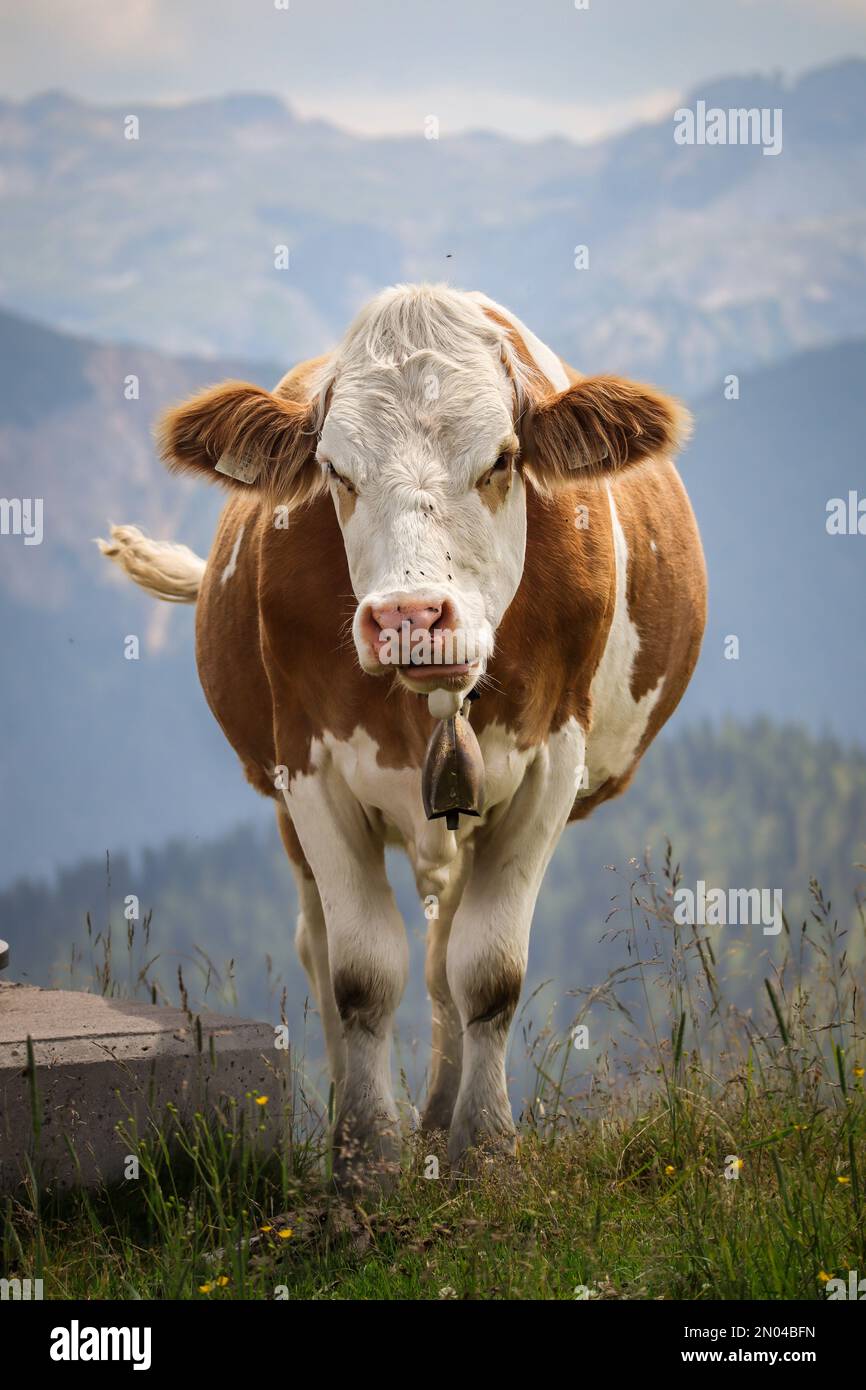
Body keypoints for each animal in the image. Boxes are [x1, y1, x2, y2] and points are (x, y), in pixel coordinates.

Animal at [101, 282, 708, 1184]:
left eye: (500, 460)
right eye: (336, 470)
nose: (411, 618)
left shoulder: (549, 767)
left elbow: (488, 972)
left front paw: (482, 1148)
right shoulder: (309, 770)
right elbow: (361, 975)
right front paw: (365, 1156)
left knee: (444, 962)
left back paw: (439, 1118)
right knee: (325, 953)